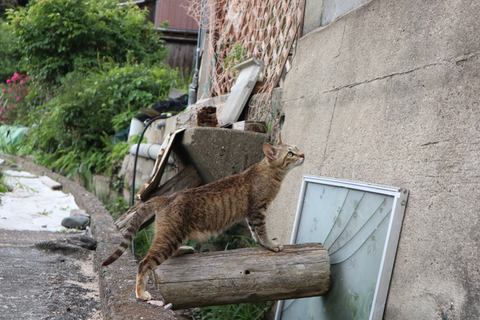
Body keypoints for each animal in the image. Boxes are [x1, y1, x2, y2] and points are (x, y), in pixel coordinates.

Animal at [102, 141, 304, 302]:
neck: (268, 171)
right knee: (144, 263)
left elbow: (255, 233)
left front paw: (262, 244)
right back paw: (141, 293)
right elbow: (261, 231)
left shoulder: (251, 214)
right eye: (290, 153)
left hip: (171, 236)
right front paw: (271, 245)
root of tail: (166, 198)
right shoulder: (258, 210)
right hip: (170, 237)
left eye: (297, 149)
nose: (303, 154)